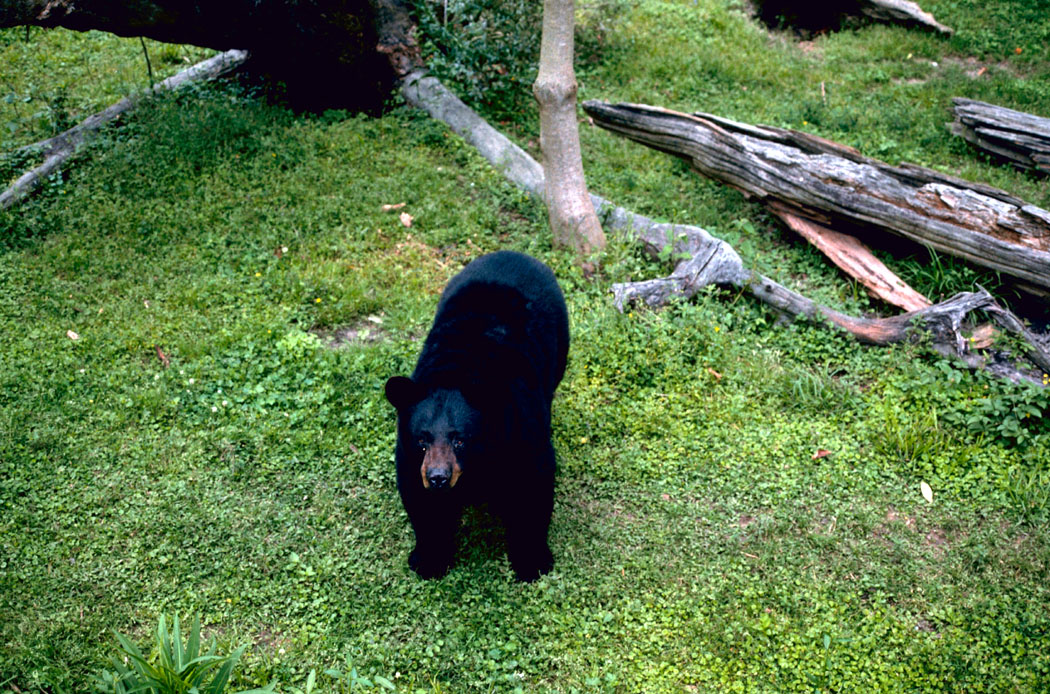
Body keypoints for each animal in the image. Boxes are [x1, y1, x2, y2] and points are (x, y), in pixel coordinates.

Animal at [384, 248, 571, 579]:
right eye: (422, 439)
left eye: (460, 439)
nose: (438, 478)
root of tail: (513, 252)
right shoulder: (410, 456)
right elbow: (419, 498)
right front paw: (428, 560)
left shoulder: (520, 429)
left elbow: (533, 486)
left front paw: (533, 562)